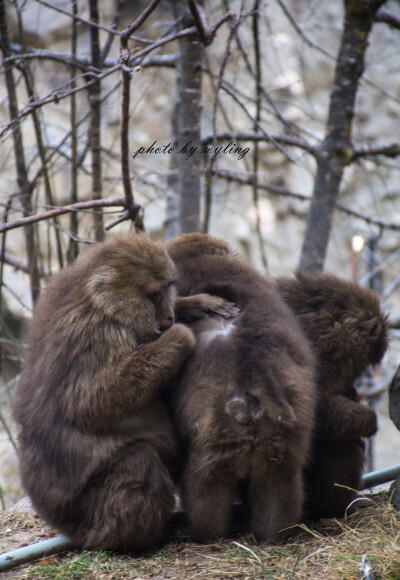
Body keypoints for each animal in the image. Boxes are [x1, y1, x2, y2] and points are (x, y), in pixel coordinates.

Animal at [12, 232, 238, 552]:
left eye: (166, 289)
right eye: (153, 293)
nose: (168, 317)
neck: (103, 306)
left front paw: (195, 304)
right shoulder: (94, 334)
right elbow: (92, 402)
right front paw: (179, 336)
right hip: (84, 512)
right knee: (137, 461)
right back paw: (135, 541)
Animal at [166, 232, 316, 544]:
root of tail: (254, 374)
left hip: (214, 437)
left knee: (206, 485)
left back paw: (205, 533)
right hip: (282, 434)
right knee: (278, 480)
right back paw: (276, 534)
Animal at [276, 272, 388, 520]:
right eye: (365, 361)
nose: (354, 387)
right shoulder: (329, 344)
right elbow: (315, 410)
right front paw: (370, 421)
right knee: (344, 446)